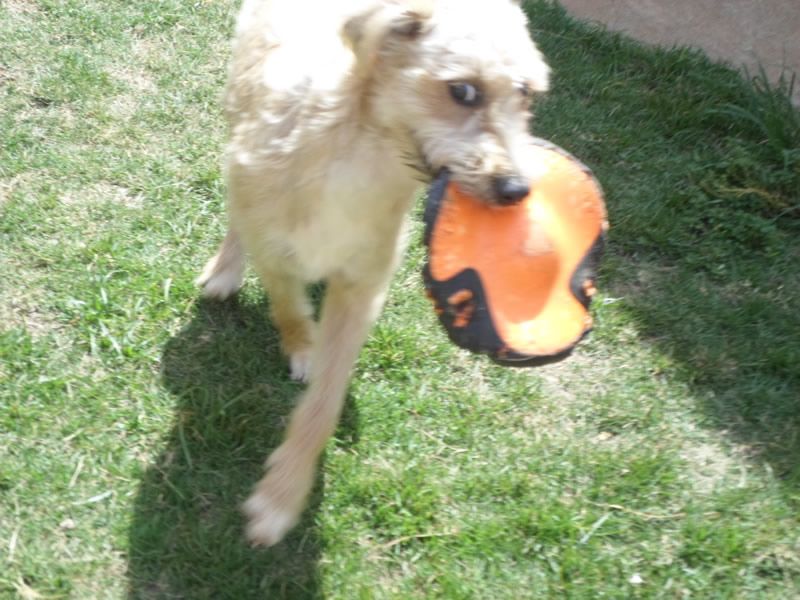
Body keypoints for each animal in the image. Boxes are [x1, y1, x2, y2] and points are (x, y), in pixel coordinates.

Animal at [196, 0, 550, 546]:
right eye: (464, 90)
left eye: (527, 93)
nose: (516, 190)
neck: (358, 156)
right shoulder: (273, 245)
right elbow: (286, 302)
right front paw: (301, 343)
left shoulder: (362, 287)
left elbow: (325, 401)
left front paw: (283, 493)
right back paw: (226, 267)